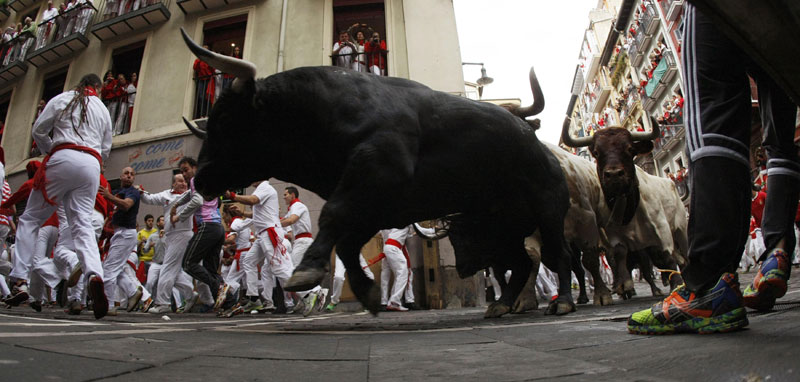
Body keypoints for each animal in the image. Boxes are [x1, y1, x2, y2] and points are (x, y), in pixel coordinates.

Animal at [183, 29, 576, 316]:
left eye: (225, 118)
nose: (200, 179)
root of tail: (537, 143)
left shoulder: (377, 172)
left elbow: (332, 216)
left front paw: (307, 270)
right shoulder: (375, 206)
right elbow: (345, 244)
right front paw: (367, 292)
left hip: (548, 210)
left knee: (559, 254)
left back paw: (564, 303)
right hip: (501, 225)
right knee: (521, 263)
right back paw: (502, 305)